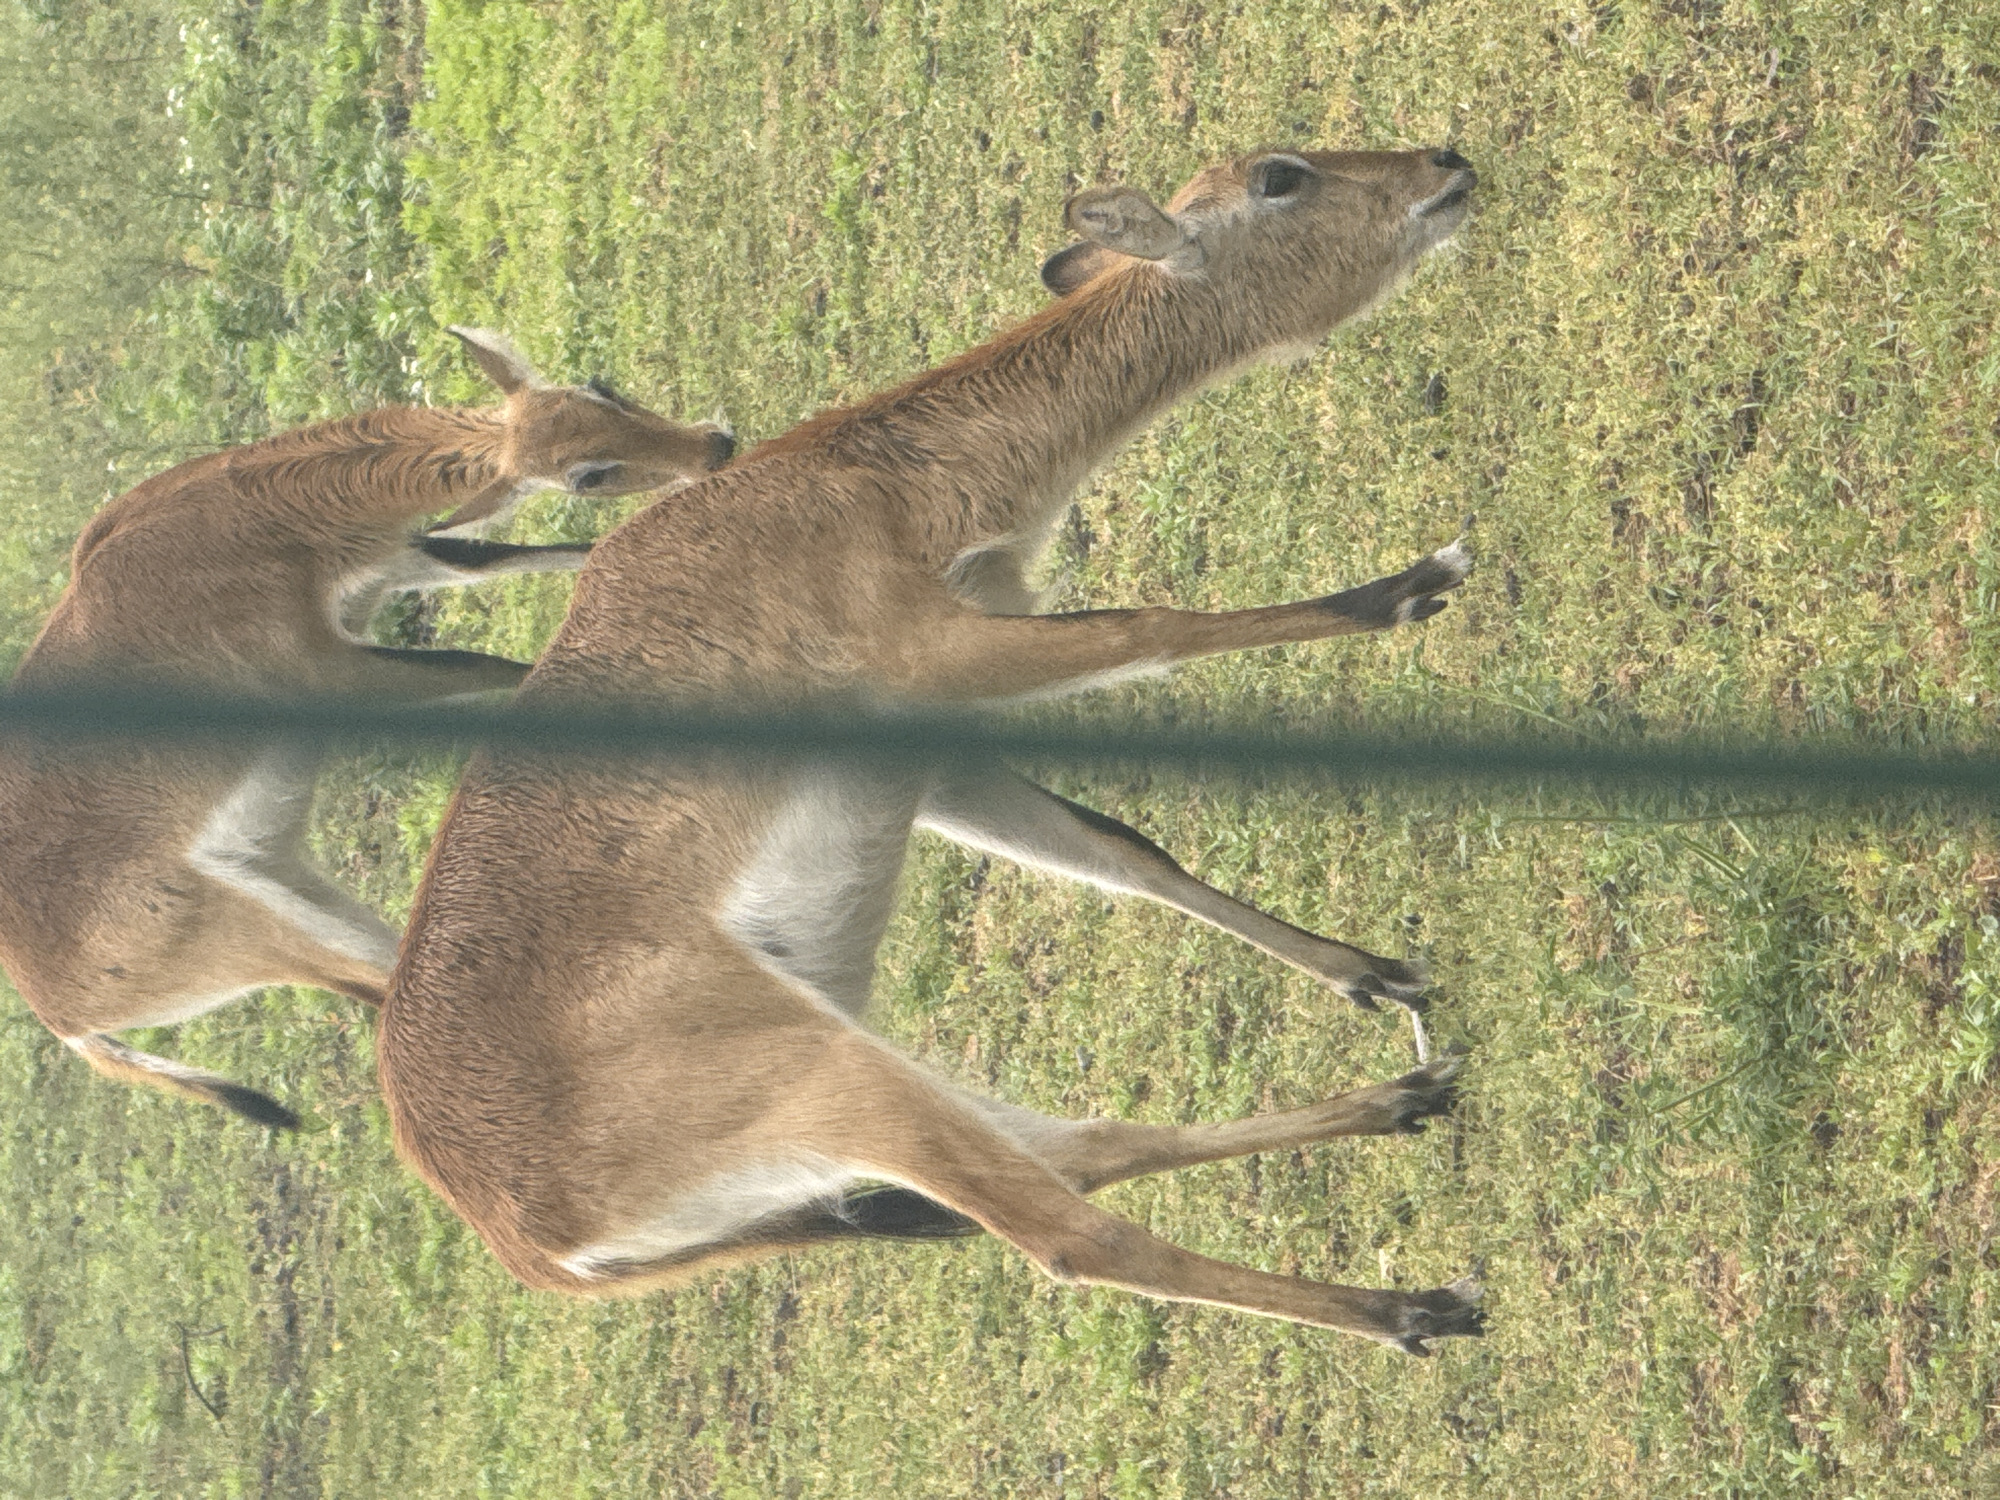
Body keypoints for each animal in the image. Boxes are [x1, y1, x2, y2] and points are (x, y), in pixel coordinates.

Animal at [0, 328, 732, 1127]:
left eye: (600, 387)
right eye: (585, 475)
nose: (715, 446)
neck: (242, 523)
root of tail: (62, 1021)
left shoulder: (396, 561)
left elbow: (535, 555)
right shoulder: (337, 671)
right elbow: (499, 665)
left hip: (296, 884)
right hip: (281, 934)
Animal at [384, 146, 1487, 1350]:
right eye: (1281, 175)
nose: (1445, 165)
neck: (877, 487)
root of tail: (533, 1244)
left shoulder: (926, 758)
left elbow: (1124, 852)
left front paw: (1377, 974)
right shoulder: (942, 653)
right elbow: (1152, 627)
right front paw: (1416, 581)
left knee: (1088, 1150)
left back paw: (1406, 1094)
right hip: (837, 1079)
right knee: (1069, 1236)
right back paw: (1417, 1305)